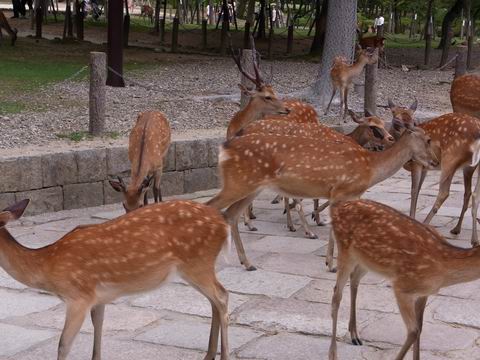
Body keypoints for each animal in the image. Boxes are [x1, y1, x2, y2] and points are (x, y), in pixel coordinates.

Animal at [0, 200, 231, 360]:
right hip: (197, 268)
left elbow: (63, 344)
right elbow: (98, 327)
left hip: (198, 264)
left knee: (222, 296)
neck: (46, 265)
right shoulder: (98, 298)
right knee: (213, 301)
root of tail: (224, 223)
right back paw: (209, 354)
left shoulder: (78, 297)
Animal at [208, 120, 436, 270]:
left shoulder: (350, 196)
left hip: (250, 187)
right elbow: (335, 230)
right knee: (213, 207)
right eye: (427, 139)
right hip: (237, 184)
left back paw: (247, 263)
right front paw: (331, 264)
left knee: (231, 215)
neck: (370, 168)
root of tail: (224, 147)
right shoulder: (340, 192)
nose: (434, 161)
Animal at [328, 200, 480, 360]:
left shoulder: (423, 293)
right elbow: (414, 331)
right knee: (336, 295)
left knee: (354, 278)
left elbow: (420, 328)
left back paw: (355, 335)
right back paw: (333, 354)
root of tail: (335, 207)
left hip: (366, 260)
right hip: (345, 250)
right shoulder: (402, 287)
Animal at [386, 100, 480, 245]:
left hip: (450, 157)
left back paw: (426, 224)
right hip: (469, 167)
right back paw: (463, 233)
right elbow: (418, 189)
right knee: (470, 193)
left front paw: (412, 219)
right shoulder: (425, 167)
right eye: (393, 112)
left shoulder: (417, 163)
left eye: (412, 117)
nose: (401, 124)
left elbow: (414, 190)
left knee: (444, 192)